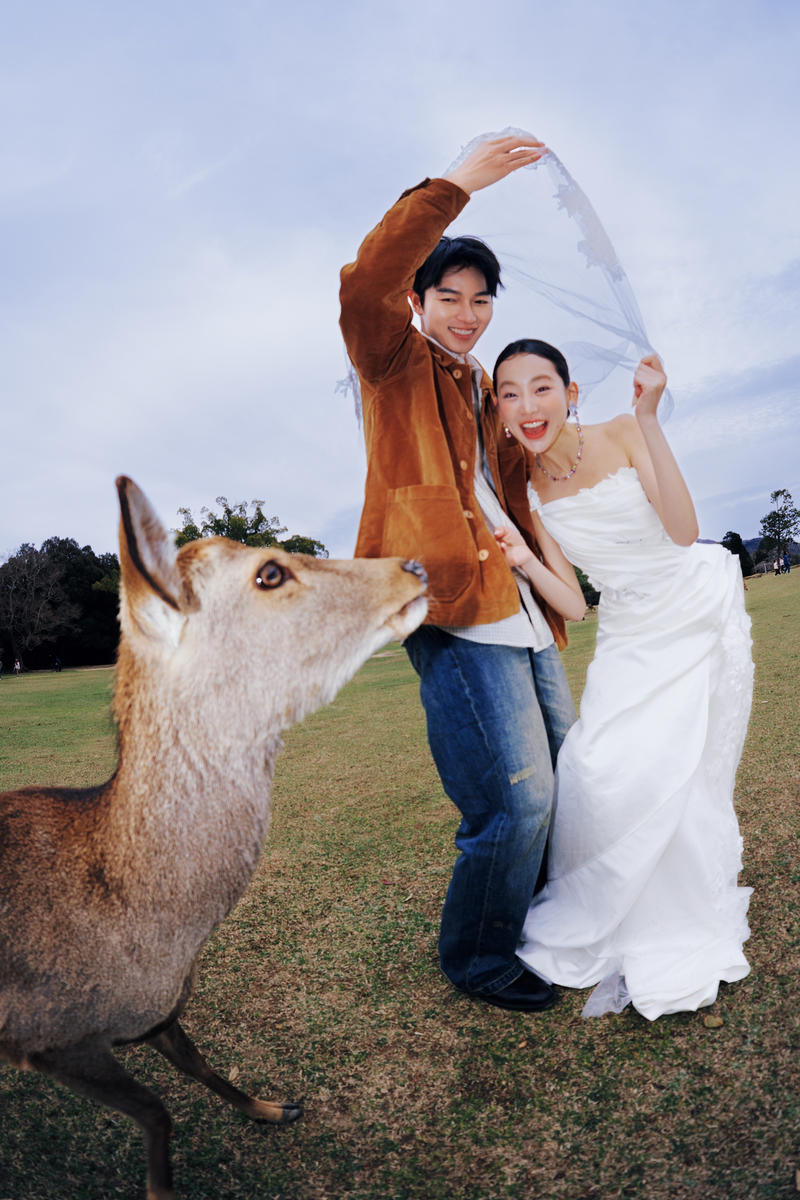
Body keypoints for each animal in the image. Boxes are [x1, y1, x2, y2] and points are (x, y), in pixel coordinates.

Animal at [0, 476, 428, 1200]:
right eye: (269, 573)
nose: (416, 566)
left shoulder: (158, 1010)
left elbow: (198, 1064)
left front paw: (274, 1108)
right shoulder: (53, 1039)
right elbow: (158, 1112)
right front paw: (161, 1190)